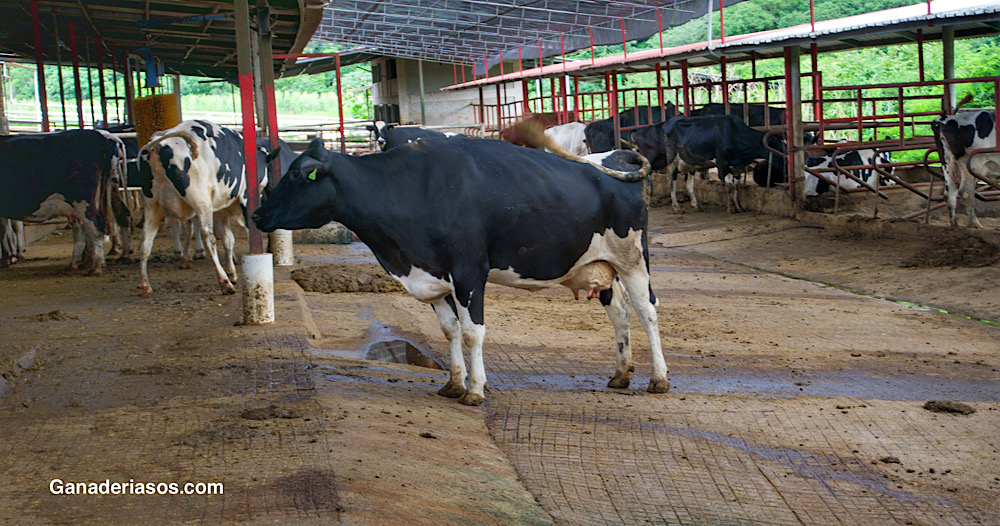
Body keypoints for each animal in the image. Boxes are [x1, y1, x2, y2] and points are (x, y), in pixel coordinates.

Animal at [0, 130, 115, 274]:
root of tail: (95, 135)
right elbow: (4, 232)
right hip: (83, 204)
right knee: (83, 230)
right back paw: (77, 264)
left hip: (82, 200)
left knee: (96, 226)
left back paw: (96, 267)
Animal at [136, 120, 271, 294]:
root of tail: (158, 146)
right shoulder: (245, 198)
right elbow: (250, 232)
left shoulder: (220, 210)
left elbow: (228, 239)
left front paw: (232, 271)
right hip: (200, 200)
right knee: (208, 237)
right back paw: (224, 282)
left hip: (152, 205)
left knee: (145, 240)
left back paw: (144, 284)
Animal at [253, 136, 667, 406]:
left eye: (295, 176)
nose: (257, 214)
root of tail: (614, 157)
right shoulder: (434, 276)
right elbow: (449, 329)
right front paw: (453, 383)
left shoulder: (469, 271)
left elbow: (471, 332)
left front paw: (476, 390)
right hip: (600, 265)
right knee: (620, 313)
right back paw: (621, 374)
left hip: (633, 258)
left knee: (647, 311)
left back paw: (659, 378)